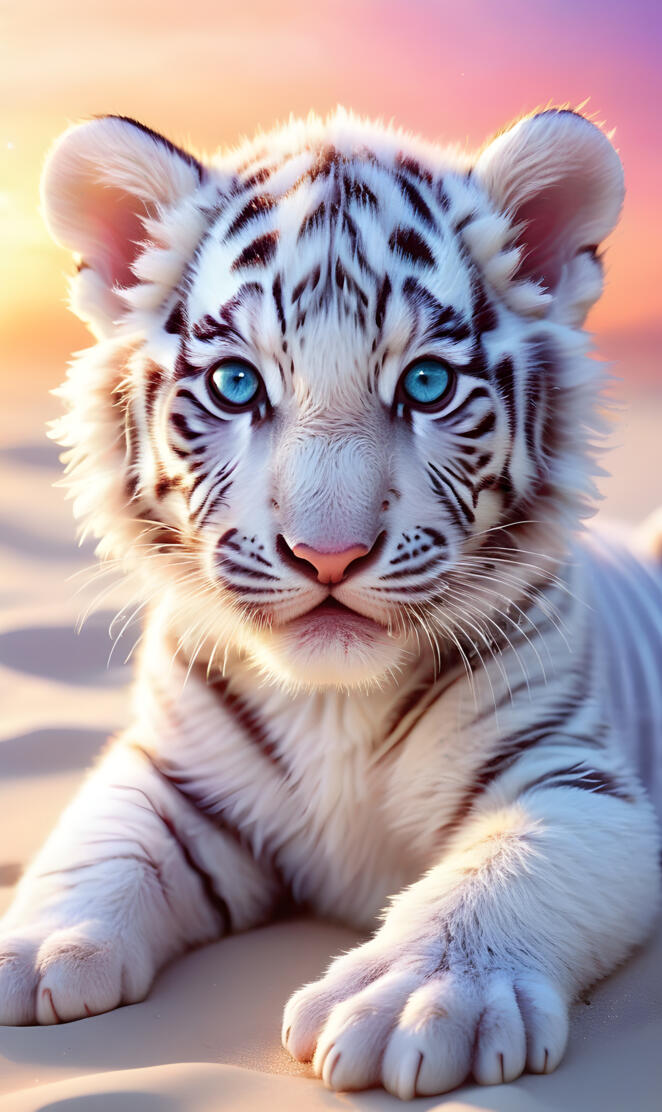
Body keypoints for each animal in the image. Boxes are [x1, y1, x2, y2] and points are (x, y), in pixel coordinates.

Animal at [0, 106, 660, 1100]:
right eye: (236, 384)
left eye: (426, 384)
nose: (328, 553)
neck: (332, 702)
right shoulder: (174, 774)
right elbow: (99, 842)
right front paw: (28, 948)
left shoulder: (574, 780)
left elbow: (505, 872)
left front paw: (419, 1000)